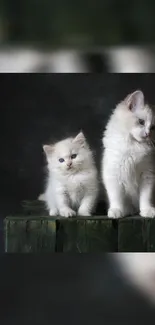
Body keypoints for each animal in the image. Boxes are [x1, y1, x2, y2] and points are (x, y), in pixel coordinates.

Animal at [101, 89, 155, 218]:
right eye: (141, 122)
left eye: (153, 128)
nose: (147, 134)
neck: (133, 145)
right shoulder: (113, 175)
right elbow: (116, 198)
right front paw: (117, 211)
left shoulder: (147, 175)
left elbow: (146, 197)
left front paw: (147, 211)